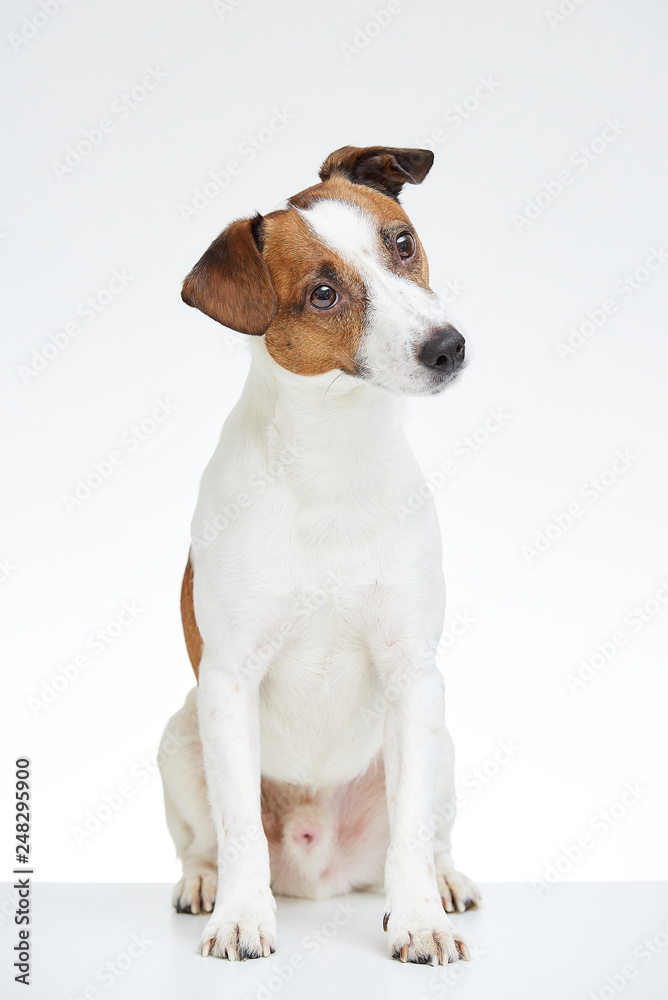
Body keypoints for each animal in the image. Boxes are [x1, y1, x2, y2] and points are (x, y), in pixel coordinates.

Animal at [158, 145, 480, 964]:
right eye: (323, 293)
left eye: (402, 242)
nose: (447, 346)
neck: (334, 459)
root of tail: (320, 871)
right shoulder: (229, 682)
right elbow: (239, 830)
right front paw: (242, 917)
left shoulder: (412, 676)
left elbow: (410, 836)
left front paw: (418, 920)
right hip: (182, 735)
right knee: (208, 840)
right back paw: (206, 883)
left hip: (442, 742)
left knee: (425, 834)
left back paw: (443, 880)